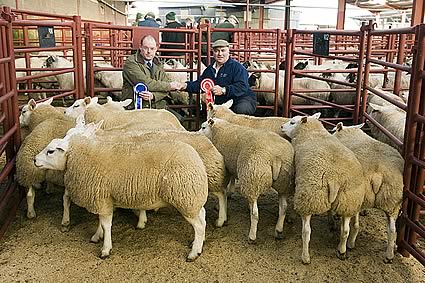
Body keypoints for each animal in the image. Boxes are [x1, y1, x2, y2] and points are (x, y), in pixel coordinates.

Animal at [34, 132, 209, 262]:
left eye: (50, 151)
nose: (34, 160)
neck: (76, 157)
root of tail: (196, 158)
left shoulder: (101, 198)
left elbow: (106, 225)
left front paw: (105, 249)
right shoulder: (103, 199)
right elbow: (101, 222)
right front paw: (97, 236)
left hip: (185, 198)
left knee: (199, 225)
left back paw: (194, 253)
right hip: (192, 198)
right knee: (203, 216)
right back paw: (197, 244)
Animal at [280, 113, 362, 264]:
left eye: (292, 122)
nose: (281, 126)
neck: (312, 131)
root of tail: (334, 178)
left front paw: (291, 215)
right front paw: (331, 221)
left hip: (309, 196)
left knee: (306, 232)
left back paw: (305, 256)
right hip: (348, 201)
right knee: (345, 230)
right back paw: (342, 251)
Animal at [332, 123, 402, 266]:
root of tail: (378, 174)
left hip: (356, 195)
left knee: (349, 227)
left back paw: (345, 247)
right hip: (392, 201)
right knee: (392, 231)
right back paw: (389, 255)